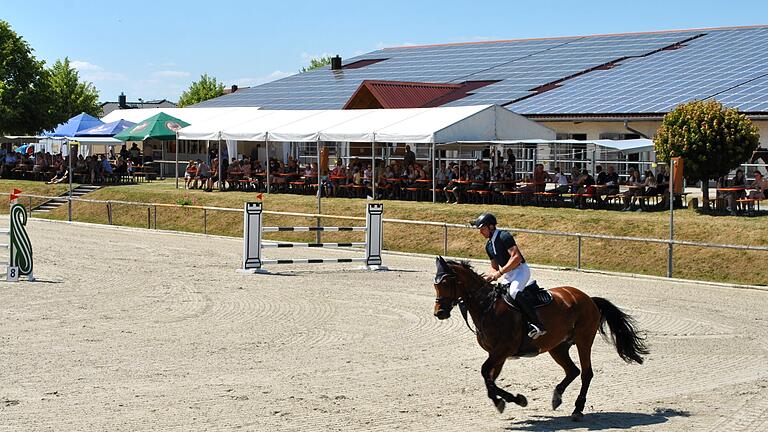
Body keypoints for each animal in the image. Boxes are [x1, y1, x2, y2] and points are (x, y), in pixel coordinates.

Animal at [432, 258, 648, 420]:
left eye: (445, 283)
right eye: (435, 284)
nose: (439, 313)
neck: (487, 306)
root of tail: (589, 299)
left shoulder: (502, 350)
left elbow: (486, 372)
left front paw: (509, 399)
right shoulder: (497, 354)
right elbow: (490, 379)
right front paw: (507, 400)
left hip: (584, 340)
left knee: (586, 373)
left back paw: (577, 409)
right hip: (557, 347)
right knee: (573, 370)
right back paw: (557, 397)